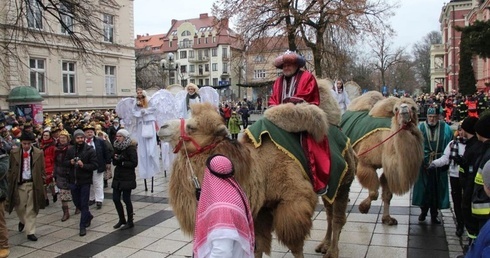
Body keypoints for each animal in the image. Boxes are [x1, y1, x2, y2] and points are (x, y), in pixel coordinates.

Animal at [338, 91, 424, 225]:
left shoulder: (389, 167)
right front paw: (363, 208)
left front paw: (387, 219)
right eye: (396, 109)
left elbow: (387, 194)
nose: (404, 109)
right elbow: (374, 193)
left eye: (414, 108)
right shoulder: (365, 163)